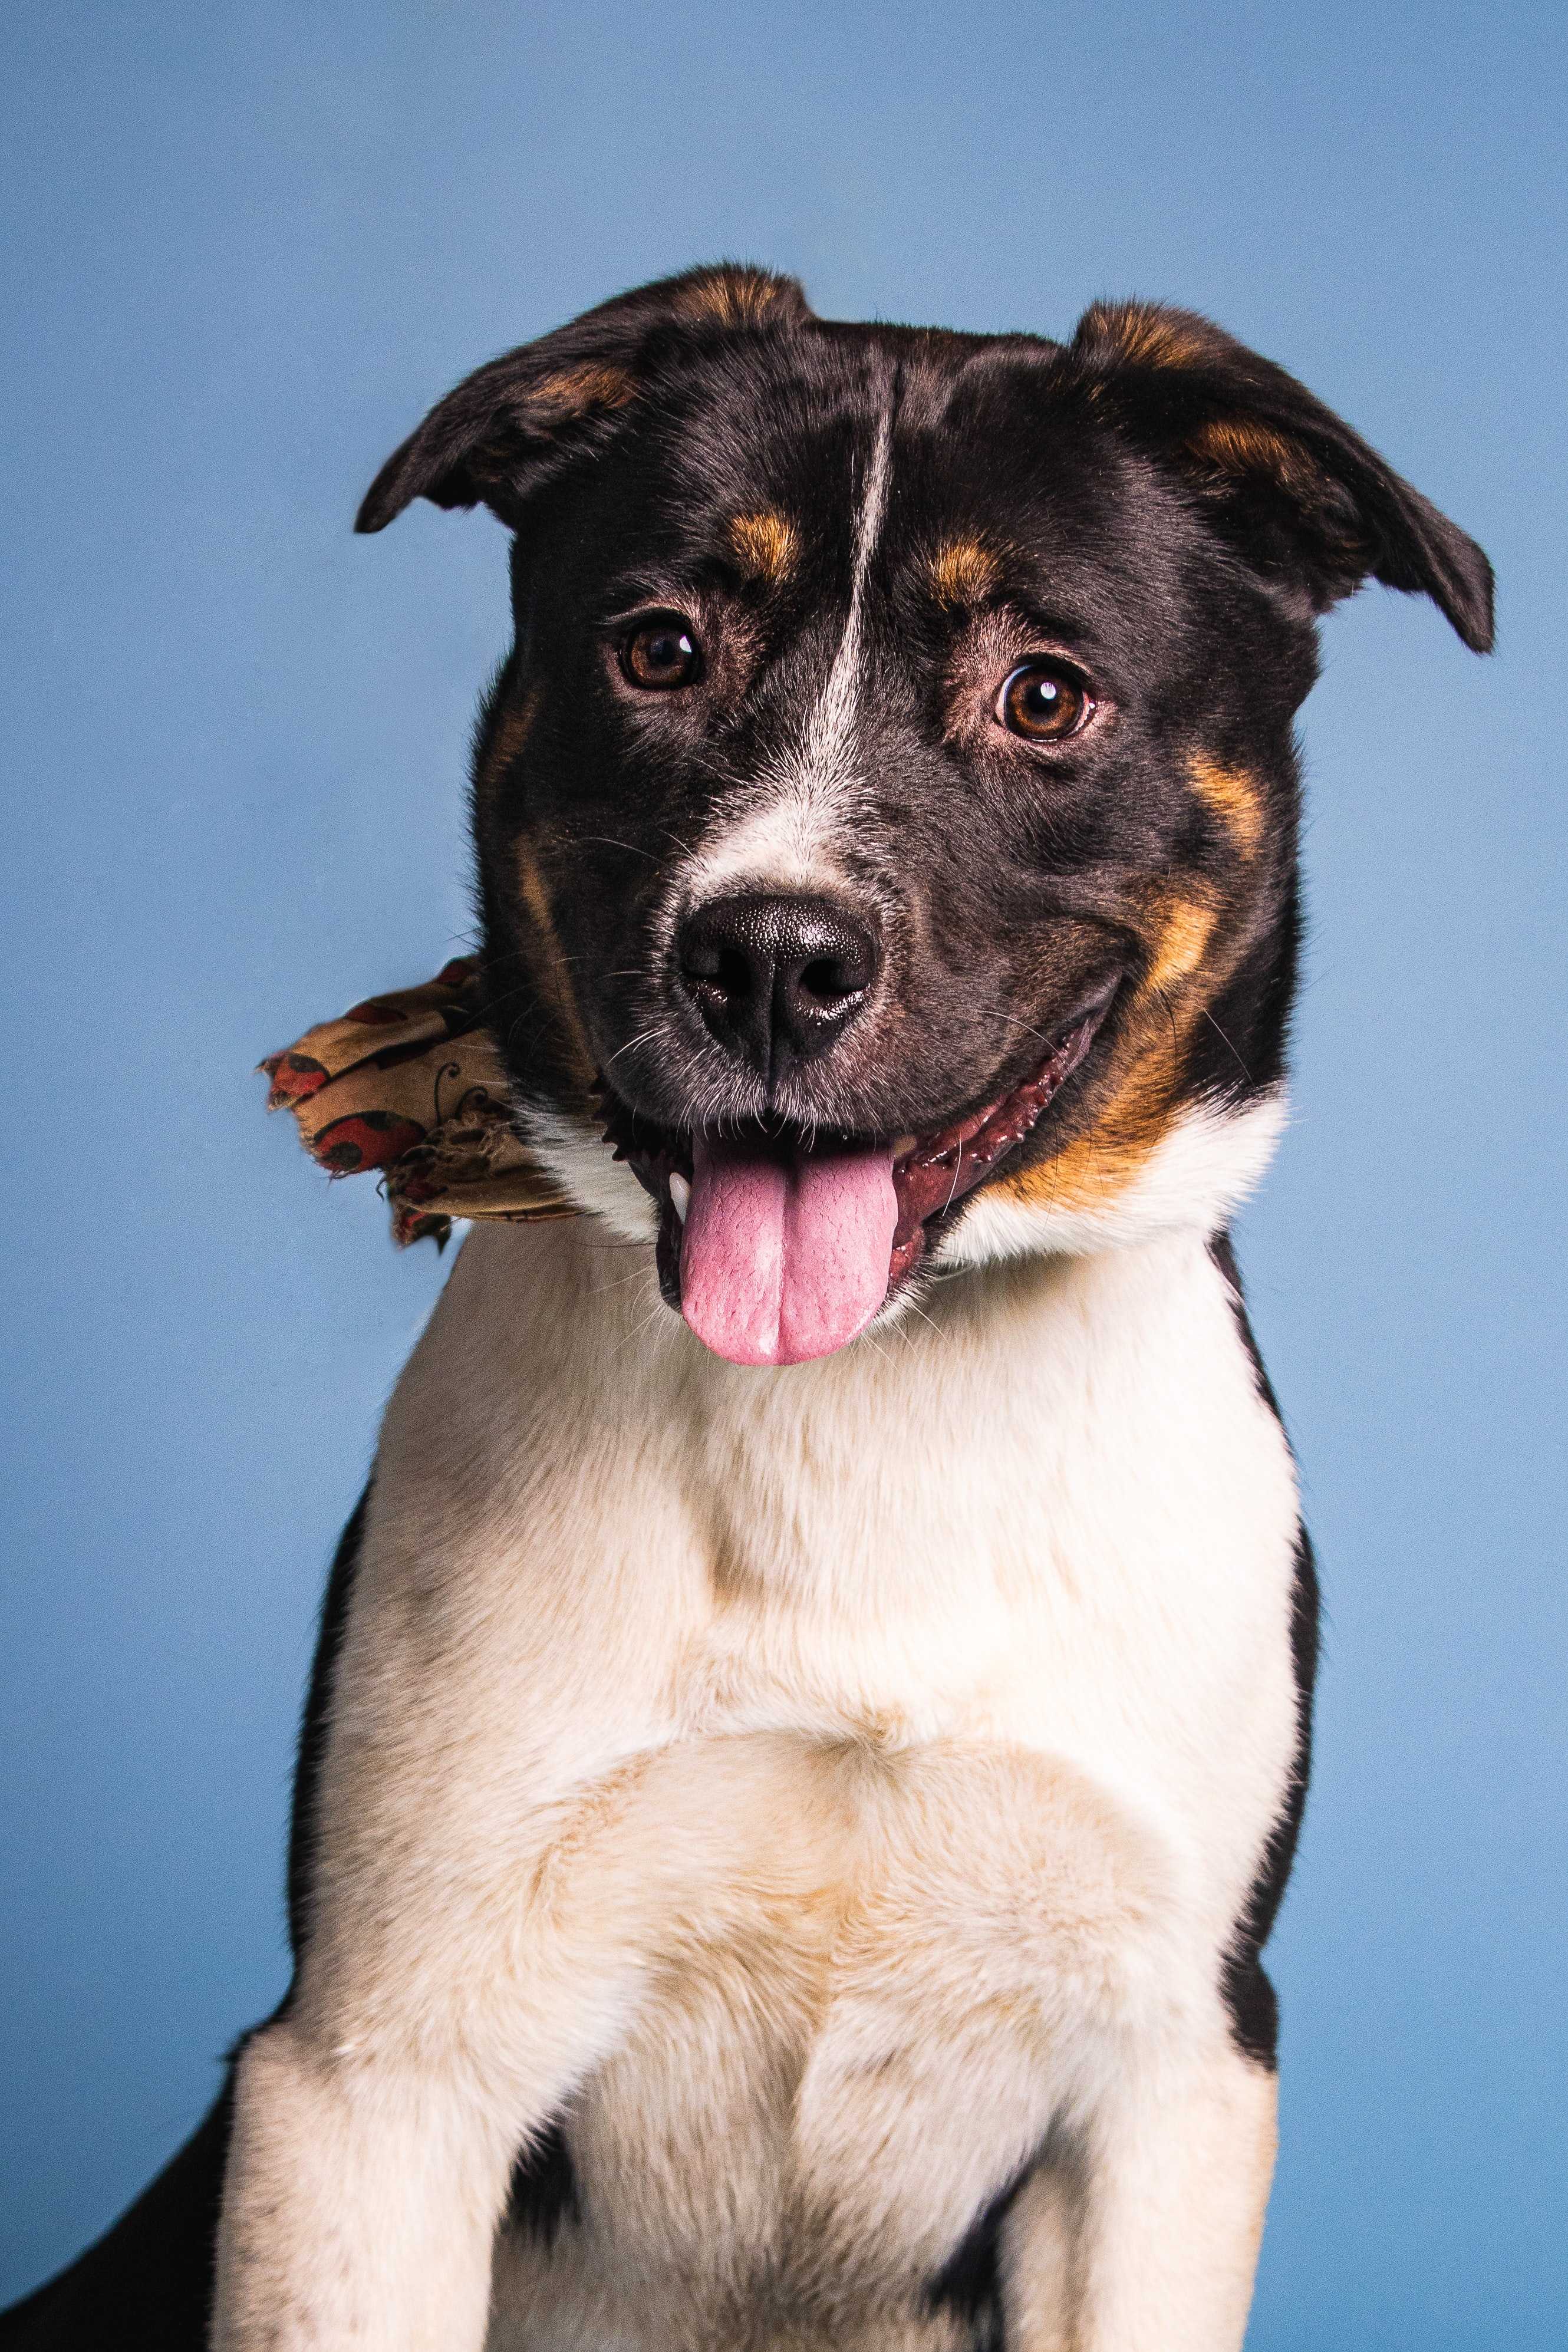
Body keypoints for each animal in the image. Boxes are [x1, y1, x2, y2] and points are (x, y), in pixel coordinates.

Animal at [3, 266, 1495, 2343]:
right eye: (658, 648)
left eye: (1045, 693)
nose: (771, 959)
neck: (870, 1397)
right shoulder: (373, 2068)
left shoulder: (1169, 2086)